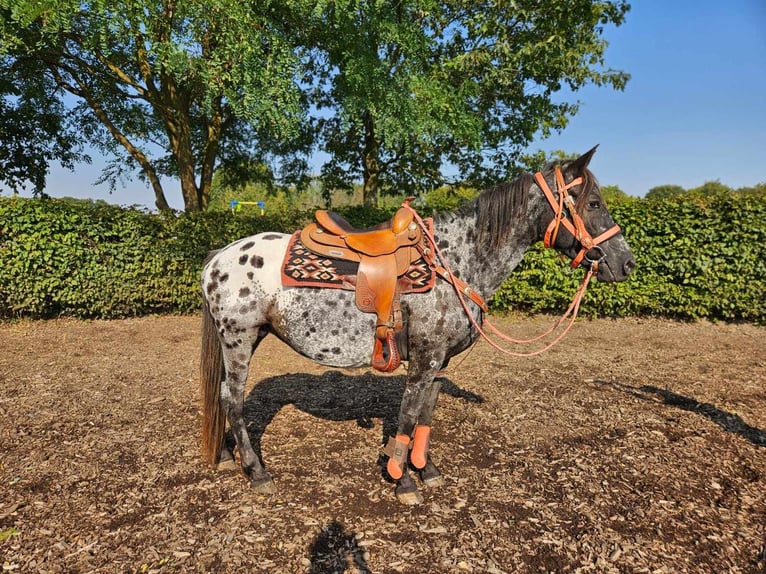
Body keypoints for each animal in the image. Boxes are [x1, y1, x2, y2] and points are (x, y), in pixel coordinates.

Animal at [200, 147, 636, 504]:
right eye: (593, 202)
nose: (627, 263)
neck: (456, 260)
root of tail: (218, 256)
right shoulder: (424, 360)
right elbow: (408, 415)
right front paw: (402, 480)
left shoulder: (439, 365)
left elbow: (425, 415)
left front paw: (426, 470)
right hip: (239, 340)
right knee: (232, 400)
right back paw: (257, 471)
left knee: (222, 396)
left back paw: (226, 455)